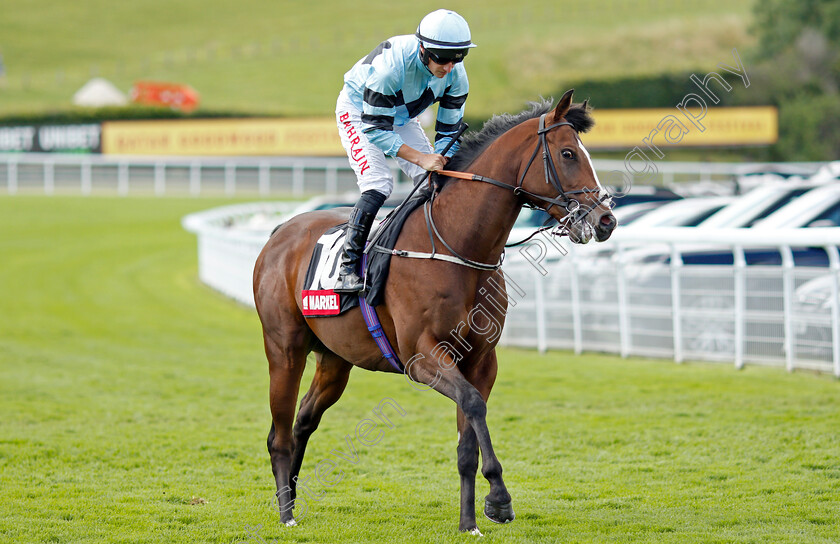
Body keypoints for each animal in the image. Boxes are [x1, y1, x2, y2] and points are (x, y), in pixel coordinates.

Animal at [253, 90, 612, 536]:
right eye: (567, 153)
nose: (606, 219)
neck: (458, 246)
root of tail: (280, 232)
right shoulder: (422, 356)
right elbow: (473, 405)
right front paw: (500, 498)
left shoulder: (480, 360)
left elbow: (468, 438)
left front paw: (469, 521)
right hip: (284, 351)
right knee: (279, 434)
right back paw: (286, 515)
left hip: (335, 361)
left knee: (303, 420)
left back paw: (291, 499)